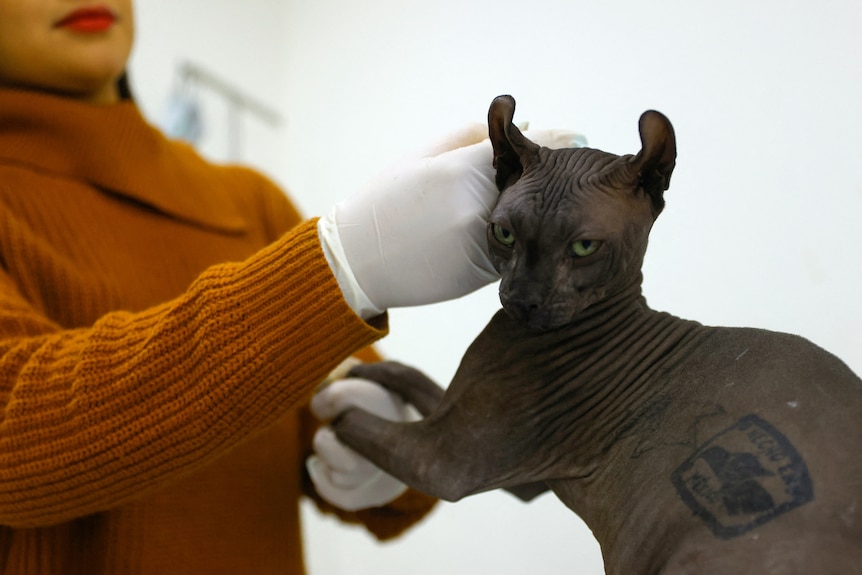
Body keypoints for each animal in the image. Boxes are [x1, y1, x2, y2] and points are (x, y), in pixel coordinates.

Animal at [332, 95, 862, 575]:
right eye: (503, 234)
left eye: (584, 247)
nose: (523, 299)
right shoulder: (507, 465)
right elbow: (417, 381)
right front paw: (369, 372)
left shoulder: (443, 461)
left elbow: (349, 421)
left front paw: (329, 413)